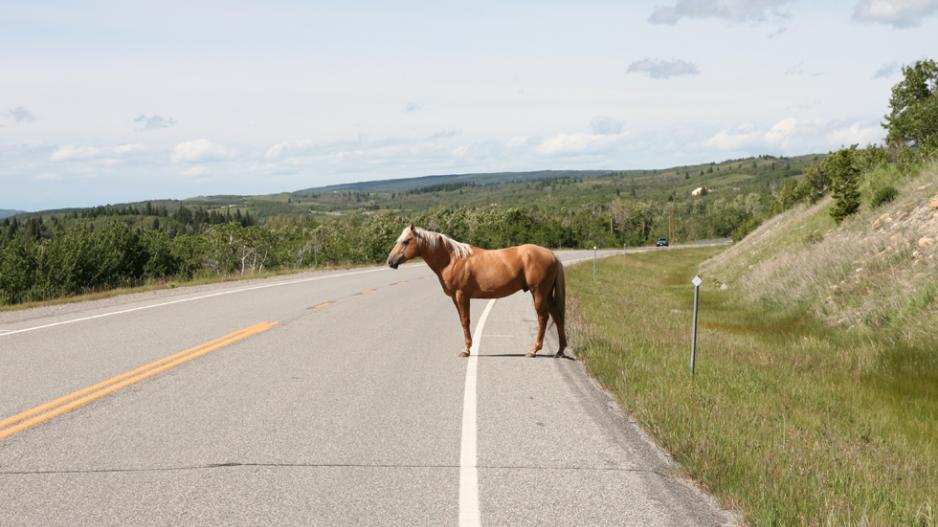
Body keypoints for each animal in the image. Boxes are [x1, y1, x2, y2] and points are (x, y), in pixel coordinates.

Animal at [386, 223, 568, 358]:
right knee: (557, 317)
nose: (390, 261)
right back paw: (560, 351)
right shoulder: (455, 297)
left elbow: (465, 321)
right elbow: (462, 320)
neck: (452, 260)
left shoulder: (461, 295)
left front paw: (466, 350)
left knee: (543, 318)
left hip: (538, 293)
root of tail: (552, 255)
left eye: (406, 241)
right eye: (398, 240)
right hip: (547, 295)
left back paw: (534, 350)